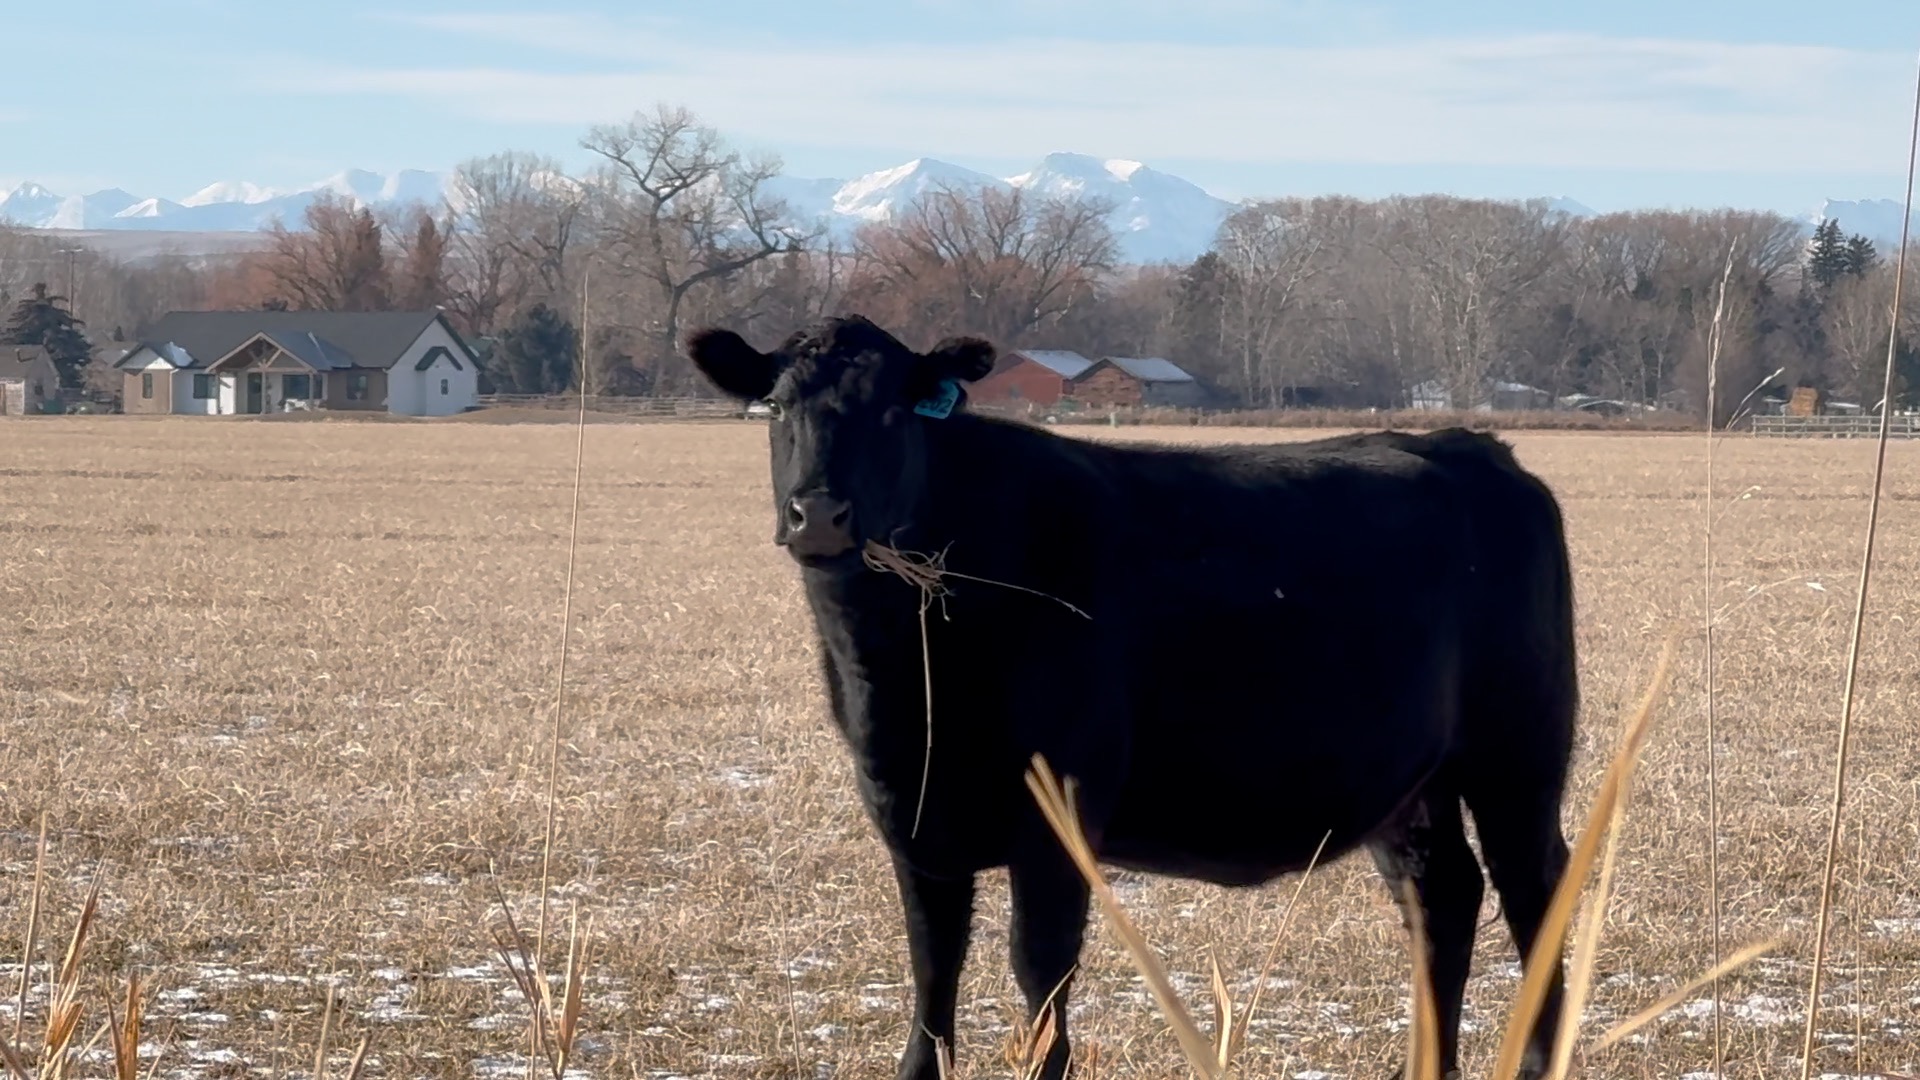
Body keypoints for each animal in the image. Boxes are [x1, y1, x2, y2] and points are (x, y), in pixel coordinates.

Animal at [685, 314, 1579, 1080]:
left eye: (894, 411)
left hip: (1520, 759)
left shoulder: (1058, 811)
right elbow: (932, 976)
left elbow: (1039, 972)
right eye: (777, 403)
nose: (819, 514)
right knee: (1442, 896)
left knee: (1534, 891)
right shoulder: (910, 817)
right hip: (1411, 783)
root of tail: (1471, 445)